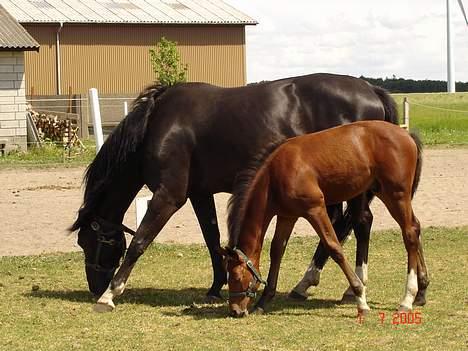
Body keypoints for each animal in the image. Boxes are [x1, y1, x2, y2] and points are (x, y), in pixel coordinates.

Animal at [70, 73, 398, 310]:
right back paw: (310, 283)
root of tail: (371, 89)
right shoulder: (199, 194)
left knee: (360, 222)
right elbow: (212, 238)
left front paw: (111, 293)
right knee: (346, 224)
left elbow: (140, 240)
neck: (157, 123)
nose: (94, 287)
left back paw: (346, 286)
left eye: (87, 242)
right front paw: (217, 286)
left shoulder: (169, 195)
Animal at [223, 121, 428, 320]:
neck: (274, 176)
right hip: (384, 192)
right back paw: (421, 291)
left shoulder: (316, 209)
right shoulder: (287, 216)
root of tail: (407, 135)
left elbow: (334, 247)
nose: (235, 311)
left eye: (236, 276)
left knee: (409, 233)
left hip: (396, 195)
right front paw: (263, 301)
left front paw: (361, 300)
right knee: (415, 227)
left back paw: (407, 299)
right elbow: (277, 251)